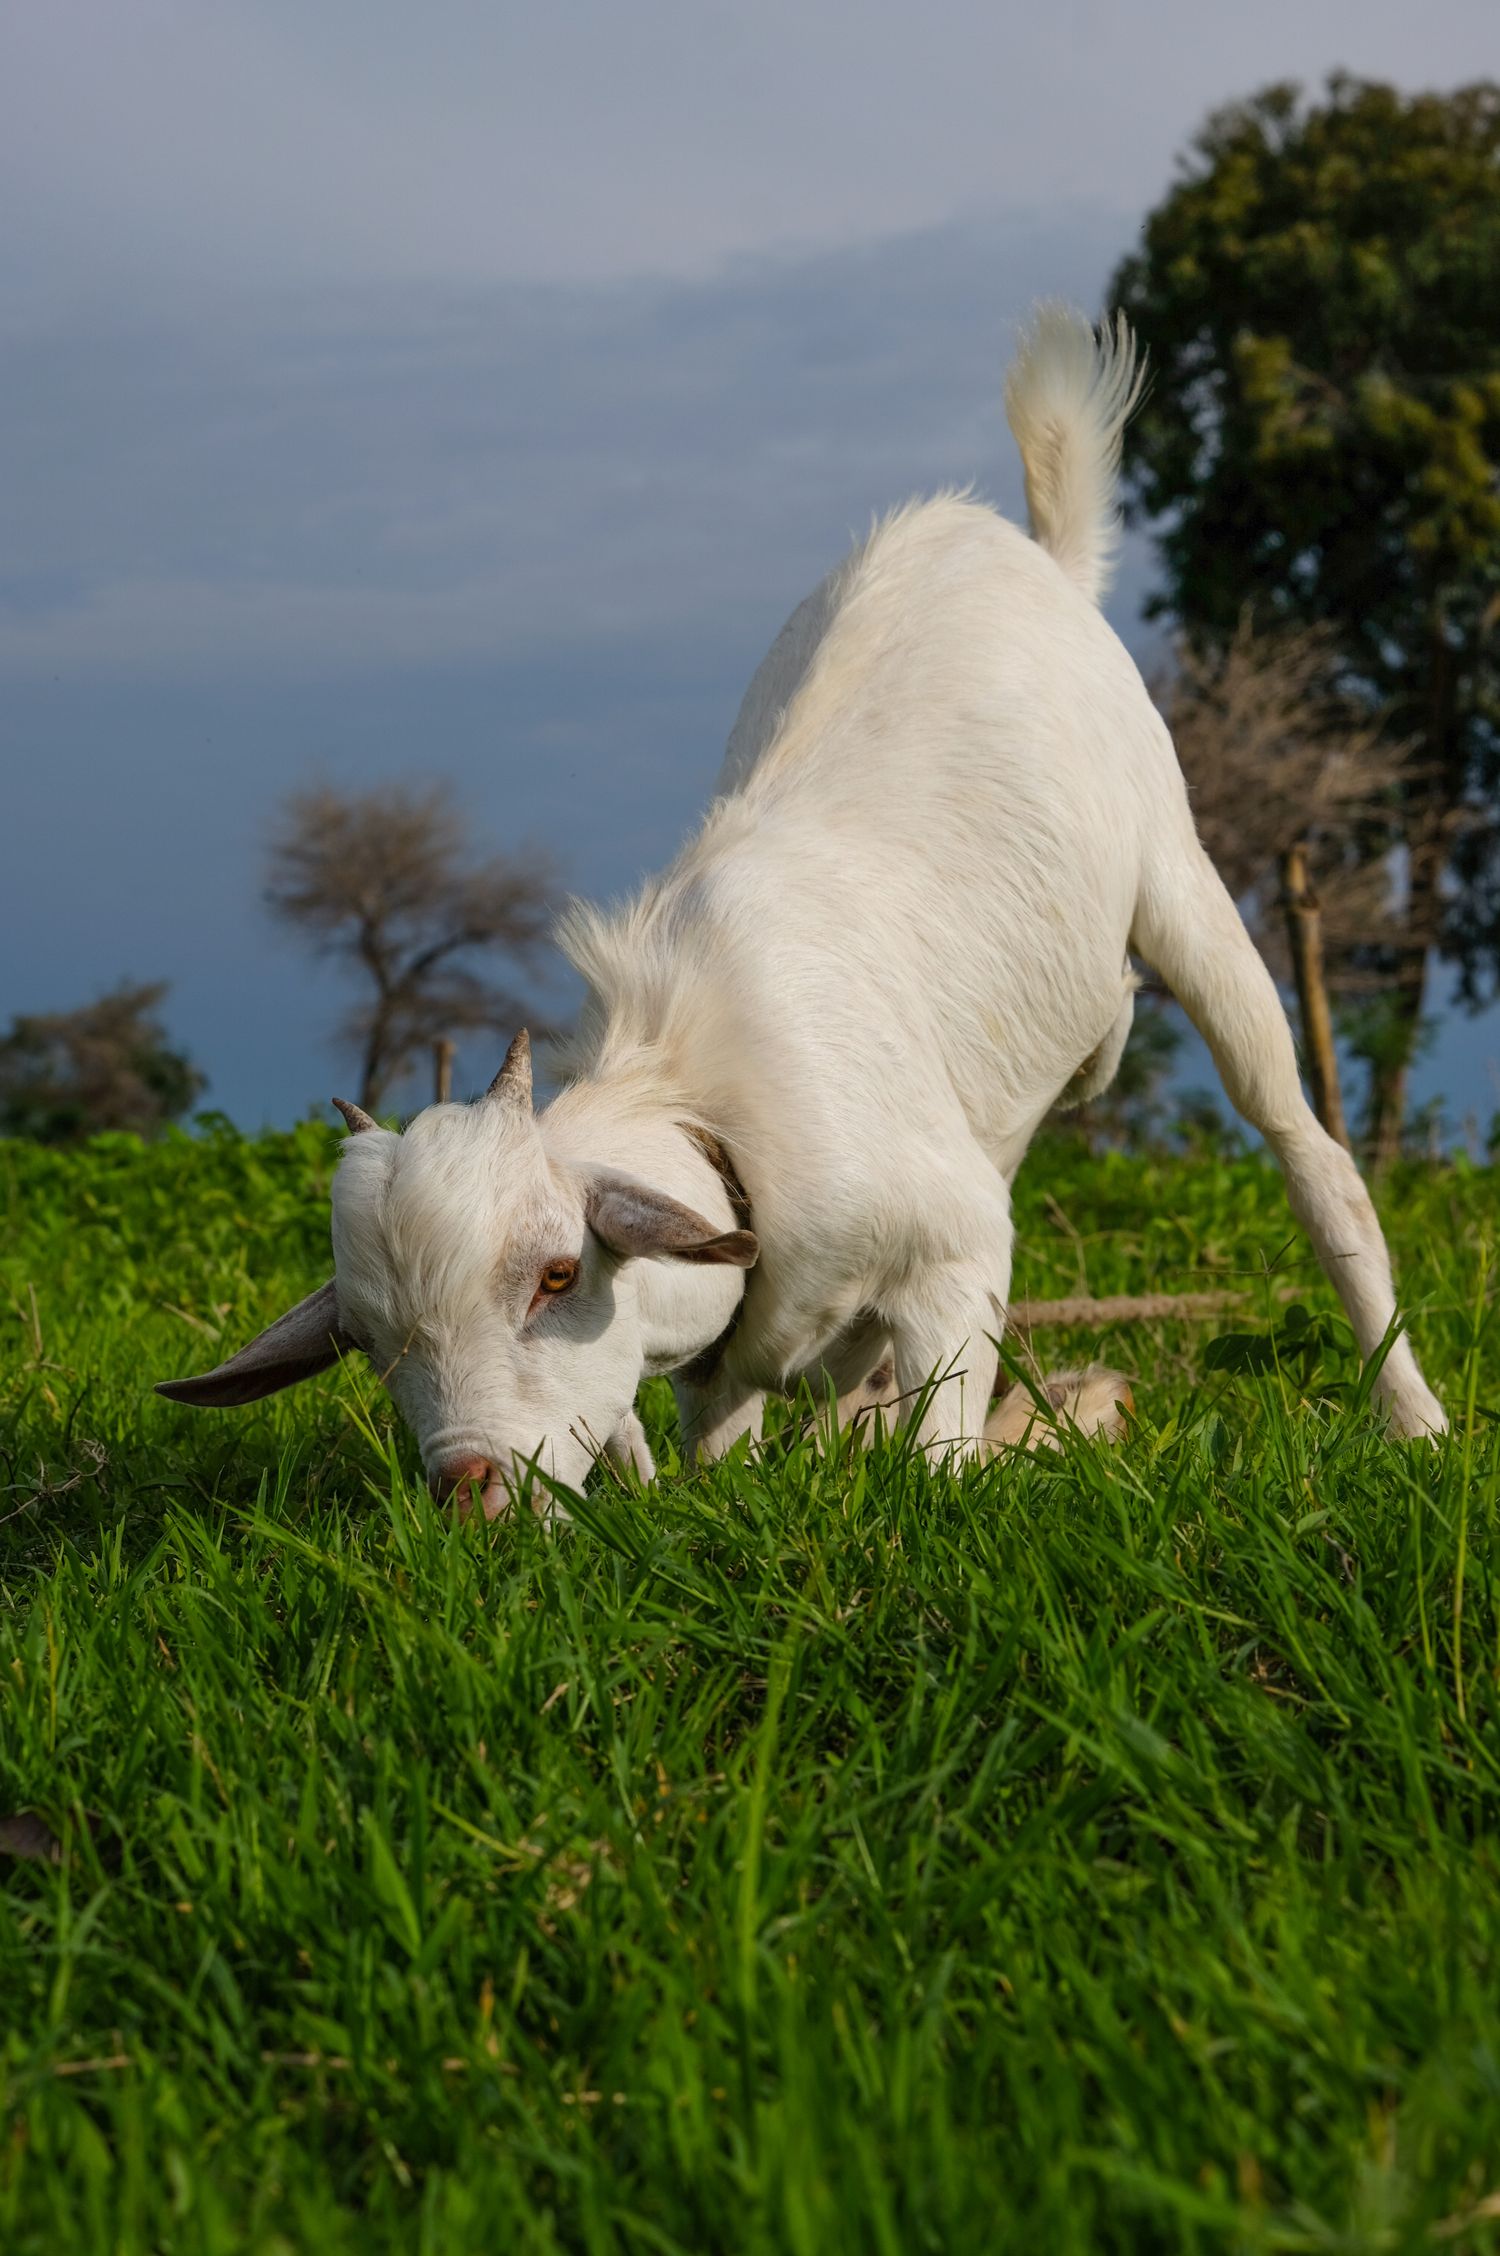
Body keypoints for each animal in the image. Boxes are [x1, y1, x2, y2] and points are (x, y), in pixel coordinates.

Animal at [157, 303, 1446, 1509]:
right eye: (370, 1341)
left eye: (559, 1274)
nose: (471, 1485)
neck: (712, 1114)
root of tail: (1028, 549)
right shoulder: (726, 1369)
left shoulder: (956, 1248)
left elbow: (941, 1451)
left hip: (1181, 880)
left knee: (1312, 1157)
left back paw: (1415, 1419)